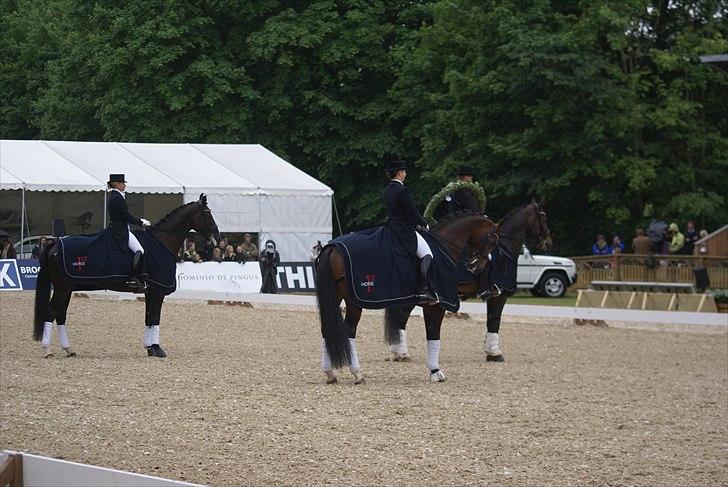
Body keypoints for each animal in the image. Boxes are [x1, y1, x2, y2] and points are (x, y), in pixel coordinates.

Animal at [32, 194, 219, 358]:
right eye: (207, 213)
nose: (217, 236)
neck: (161, 242)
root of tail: (55, 243)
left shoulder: (150, 292)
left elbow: (148, 318)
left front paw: (150, 348)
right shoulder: (157, 291)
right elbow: (155, 318)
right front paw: (157, 349)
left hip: (67, 288)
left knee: (60, 314)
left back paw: (68, 349)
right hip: (62, 288)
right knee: (51, 312)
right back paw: (48, 350)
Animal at [316, 214, 498, 386]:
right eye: (492, 239)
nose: (475, 267)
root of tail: (332, 247)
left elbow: (430, 333)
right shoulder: (437, 305)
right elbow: (434, 334)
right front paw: (435, 372)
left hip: (336, 297)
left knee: (326, 329)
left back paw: (330, 373)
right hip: (354, 302)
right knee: (349, 330)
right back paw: (357, 374)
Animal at [386, 201, 552, 362]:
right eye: (543, 217)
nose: (548, 242)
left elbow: (491, 320)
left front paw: (490, 351)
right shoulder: (500, 295)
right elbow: (494, 321)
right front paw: (494, 353)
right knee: (402, 317)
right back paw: (402, 353)